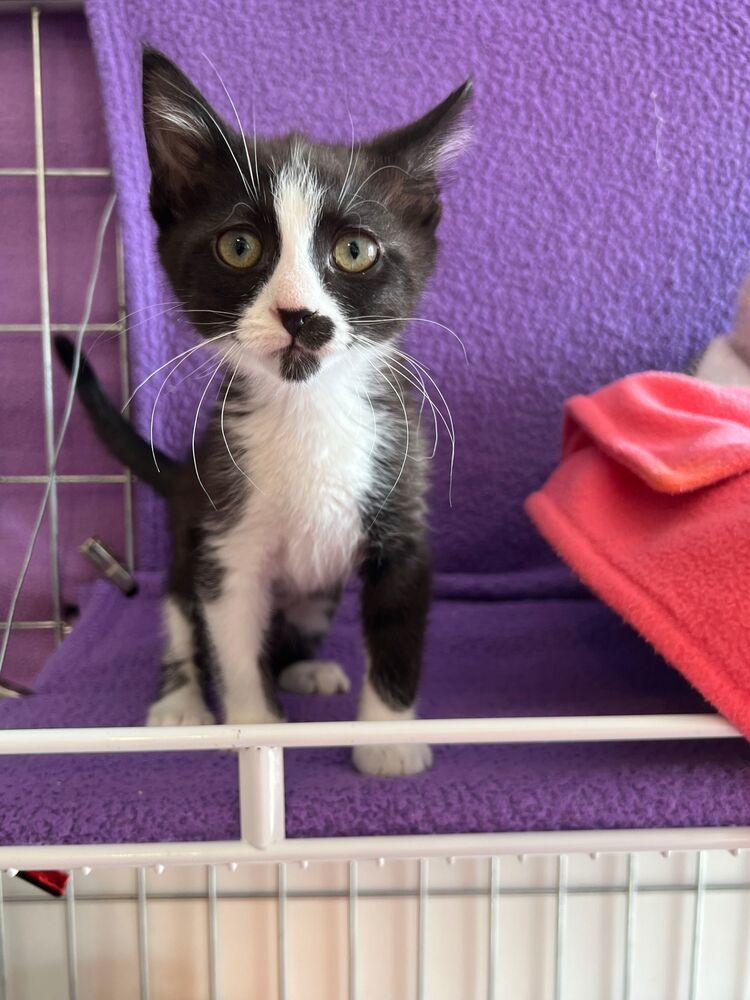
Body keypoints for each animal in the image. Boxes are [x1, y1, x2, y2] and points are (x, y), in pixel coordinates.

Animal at [57, 50, 470, 776]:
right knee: (180, 620)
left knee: (294, 627)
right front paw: (255, 733)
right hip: (189, 538)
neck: (307, 410)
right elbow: (234, 640)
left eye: (356, 251)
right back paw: (180, 701)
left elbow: (397, 635)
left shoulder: (403, 518)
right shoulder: (227, 536)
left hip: (313, 592)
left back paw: (305, 670)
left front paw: (387, 741)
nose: (298, 316)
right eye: (240, 247)